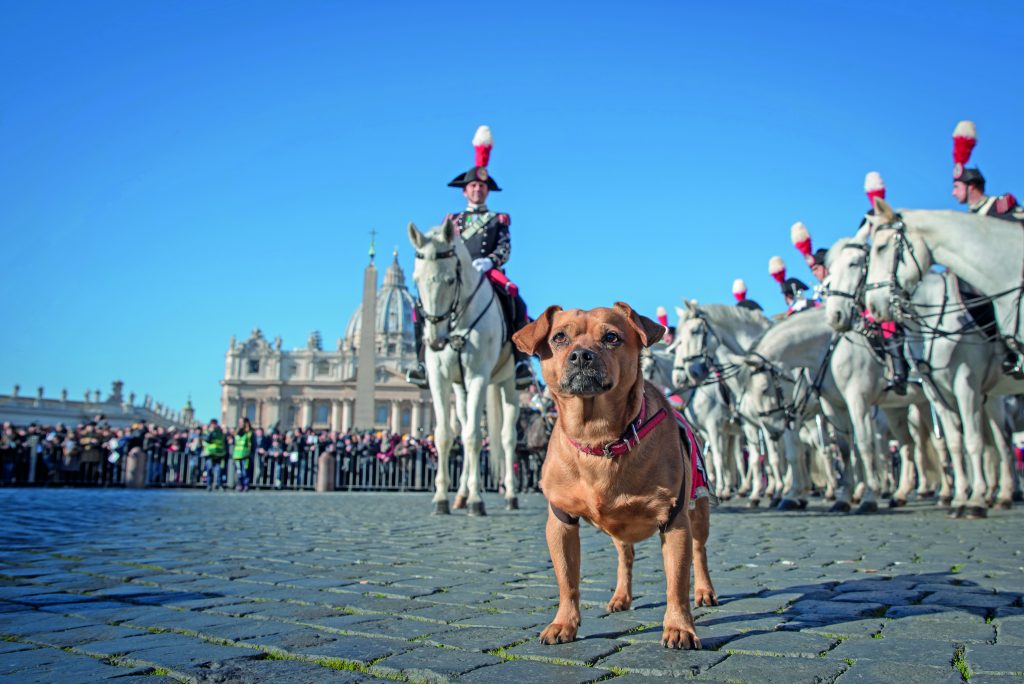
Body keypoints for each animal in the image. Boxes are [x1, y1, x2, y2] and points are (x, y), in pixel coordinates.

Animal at [407, 219, 520, 511]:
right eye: (416, 280)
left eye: (450, 279)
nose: (435, 341)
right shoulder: (439, 379)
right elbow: (445, 435)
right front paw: (442, 498)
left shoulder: (478, 376)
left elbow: (473, 437)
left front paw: (477, 501)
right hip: (461, 391)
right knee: (465, 425)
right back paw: (461, 494)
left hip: (508, 384)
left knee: (507, 438)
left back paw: (510, 495)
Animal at [512, 301, 720, 651]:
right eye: (559, 338)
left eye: (612, 338)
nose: (581, 355)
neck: (599, 438)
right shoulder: (561, 523)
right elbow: (568, 580)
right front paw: (564, 623)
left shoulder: (675, 521)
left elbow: (677, 583)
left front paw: (679, 627)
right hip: (619, 533)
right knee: (626, 557)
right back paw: (621, 596)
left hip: (698, 510)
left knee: (700, 551)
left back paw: (705, 591)